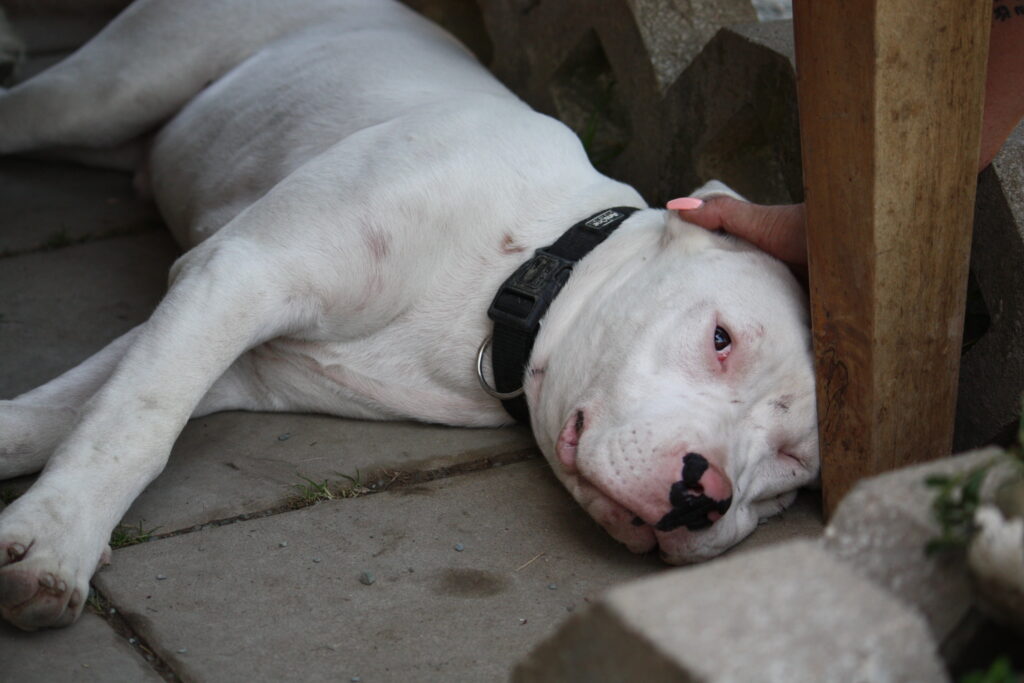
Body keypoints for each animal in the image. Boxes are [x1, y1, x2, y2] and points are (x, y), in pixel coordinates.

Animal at [0, 0, 818, 630]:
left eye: (794, 466)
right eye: (721, 339)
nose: (704, 495)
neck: (518, 276)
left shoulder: (237, 355)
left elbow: (79, 410)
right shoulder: (242, 272)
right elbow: (136, 423)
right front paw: (54, 546)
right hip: (110, 92)